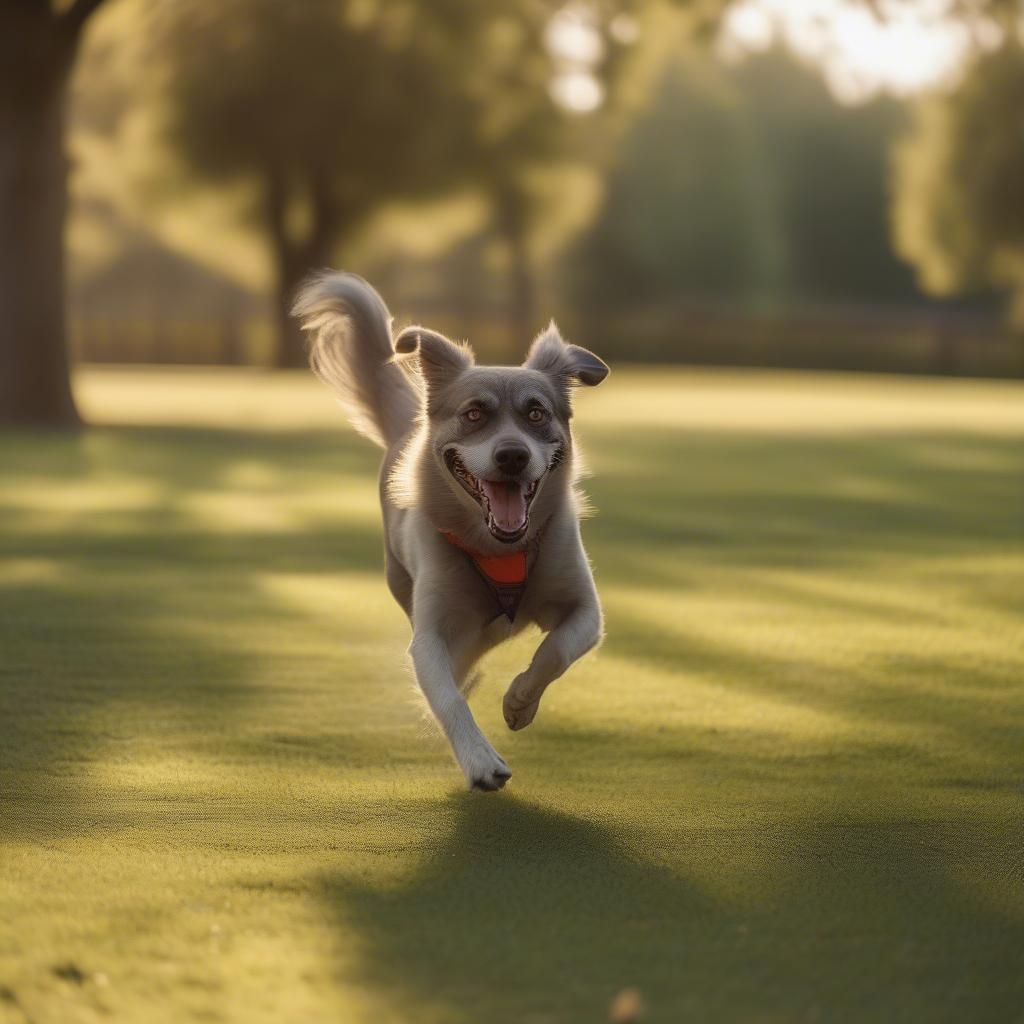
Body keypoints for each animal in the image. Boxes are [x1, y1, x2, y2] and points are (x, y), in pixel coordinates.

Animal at [292, 274, 606, 790]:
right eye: (474, 414)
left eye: (537, 413)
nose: (513, 455)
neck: (499, 546)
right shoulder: (431, 634)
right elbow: (447, 695)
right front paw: (479, 759)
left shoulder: (585, 607)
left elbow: (556, 650)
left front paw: (519, 702)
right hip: (404, 582)